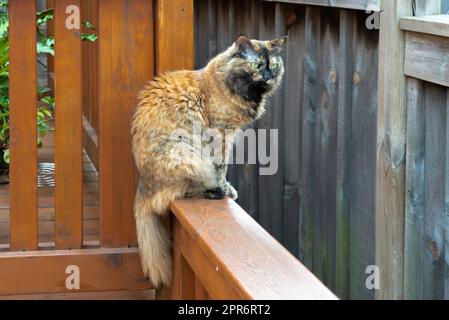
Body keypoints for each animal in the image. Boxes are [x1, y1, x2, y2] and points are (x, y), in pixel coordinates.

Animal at [130, 35, 284, 288]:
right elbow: (221, 166)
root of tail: (143, 185)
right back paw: (213, 191)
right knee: (176, 194)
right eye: (256, 64)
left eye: (273, 64)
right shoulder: (221, 135)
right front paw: (225, 188)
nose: (268, 75)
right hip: (185, 152)